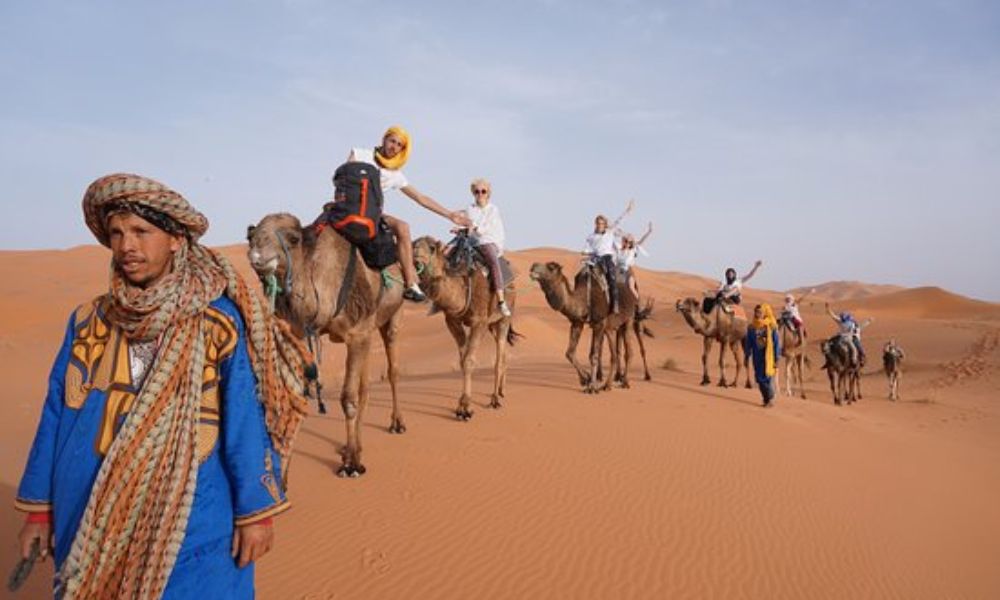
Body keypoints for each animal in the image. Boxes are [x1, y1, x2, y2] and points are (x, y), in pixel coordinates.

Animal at [247, 213, 406, 476]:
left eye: (293, 238)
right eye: (250, 237)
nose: (258, 256)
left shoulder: (356, 332)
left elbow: (348, 398)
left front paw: (351, 465)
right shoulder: (303, 333)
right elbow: (294, 398)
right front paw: (282, 474)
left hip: (390, 317)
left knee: (392, 370)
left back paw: (397, 424)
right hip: (368, 332)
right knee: (365, 387)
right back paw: (354, 445)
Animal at [412, 237, 520, 420]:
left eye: (432, 247)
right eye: (412, 245)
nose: (416, 258)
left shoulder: (479, 322)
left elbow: (469, 361)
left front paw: (466, 409)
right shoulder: (452, 321)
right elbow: (462, 361)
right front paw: (461, 406)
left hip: (505, 316)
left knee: (499, 355)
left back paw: (495, 399)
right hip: (492, 324)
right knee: (504, 352)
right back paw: (501, 390)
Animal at [528, 260, 652, 392]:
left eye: (551, 267)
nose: (533, 266)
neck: (584, 300)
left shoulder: (599, 323)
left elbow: (593, 355)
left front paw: (592, 387)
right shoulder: (578, 322)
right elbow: (570, 353)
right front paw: (585, 379)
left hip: (629, 319)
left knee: (629, 351)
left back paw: (627, 381)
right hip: (610, 327)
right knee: (614, 354)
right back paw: (608, 384)